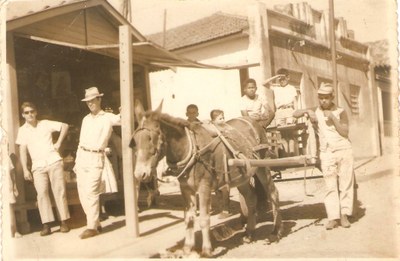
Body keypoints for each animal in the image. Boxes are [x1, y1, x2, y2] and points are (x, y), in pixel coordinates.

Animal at [130, 100, 282, 255]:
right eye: (134, 141)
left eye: (151, 139)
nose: (139, 174)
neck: (191, 148)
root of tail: (253, 122)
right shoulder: (185, 189)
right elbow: (189, 218)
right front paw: (187, 248)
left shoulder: (204, 187)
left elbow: (204, 219)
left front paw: (206, 250)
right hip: (242, 175)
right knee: (251, 198)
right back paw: (250, 233)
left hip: (262, 166)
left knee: (272, 192)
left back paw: (275, 231)